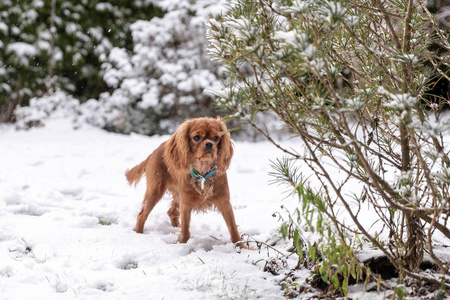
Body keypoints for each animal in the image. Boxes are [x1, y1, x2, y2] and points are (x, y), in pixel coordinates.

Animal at [125, 117, 243, 246]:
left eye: (216, 138)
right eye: (196, 137)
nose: (209, 144)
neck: (202, 172)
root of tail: (153, 152)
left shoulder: (224, 202)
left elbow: (233, 229)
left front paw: (241, 246)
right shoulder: (186, 202)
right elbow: (185, 231)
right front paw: (182, 243)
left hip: (177, 194)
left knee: (172, 212)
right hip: (155, 191)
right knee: (142, 214)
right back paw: (139, 234)